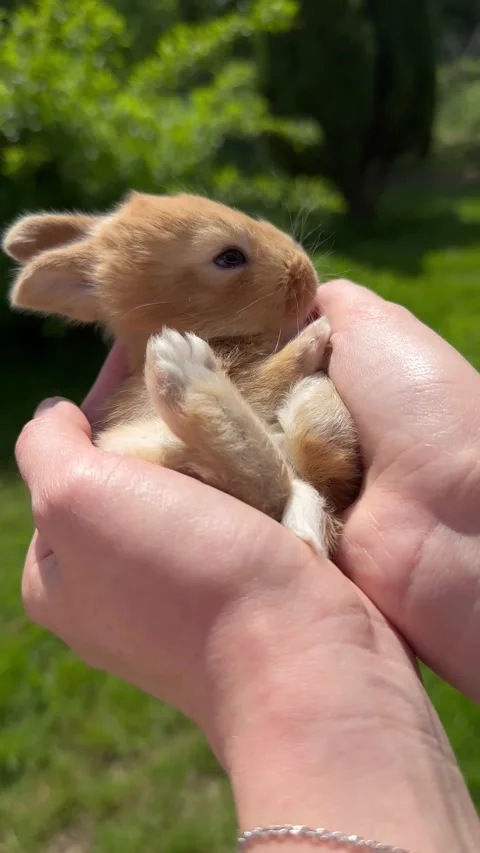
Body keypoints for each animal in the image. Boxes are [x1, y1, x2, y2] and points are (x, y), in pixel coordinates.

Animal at [3, 191, 362, 555]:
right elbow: (273, 375)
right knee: (267, 488)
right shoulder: (251, 380)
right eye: (229, 257)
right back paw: (187, 371)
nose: (308, 274)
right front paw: (315, 334)